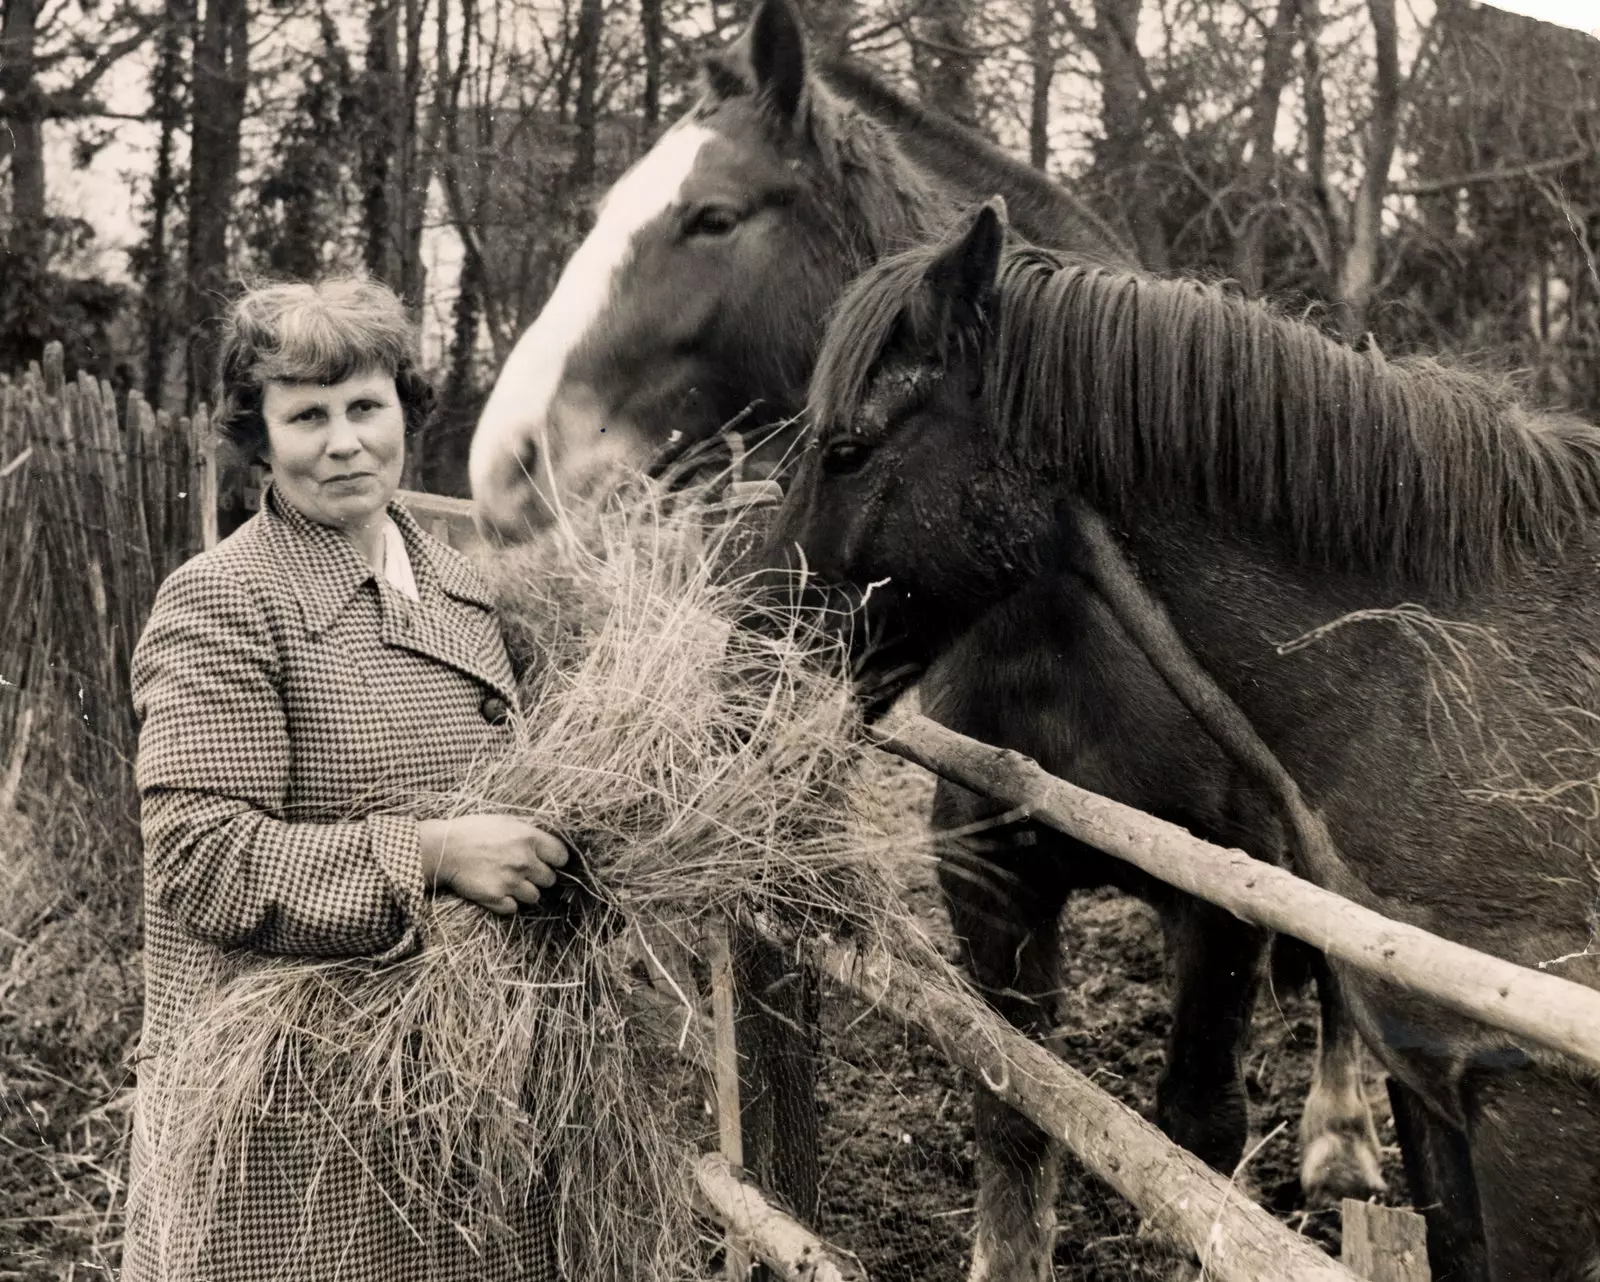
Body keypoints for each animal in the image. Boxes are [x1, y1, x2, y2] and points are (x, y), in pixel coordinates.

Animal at [467, 0, 1388, 1261]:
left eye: (713, 216)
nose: (506, 460)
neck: (1069, 640)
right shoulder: (990, 885)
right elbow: (1014, 1121)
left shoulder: (1219, 909)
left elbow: (1198, 1143)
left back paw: (1343, 1134)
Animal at [764, 200, 1600, 1280]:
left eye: (849, 451)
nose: (746, 631)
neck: (1457, 690)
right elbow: (1013, 1094)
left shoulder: (1526, 1112)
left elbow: (1198, 1129)